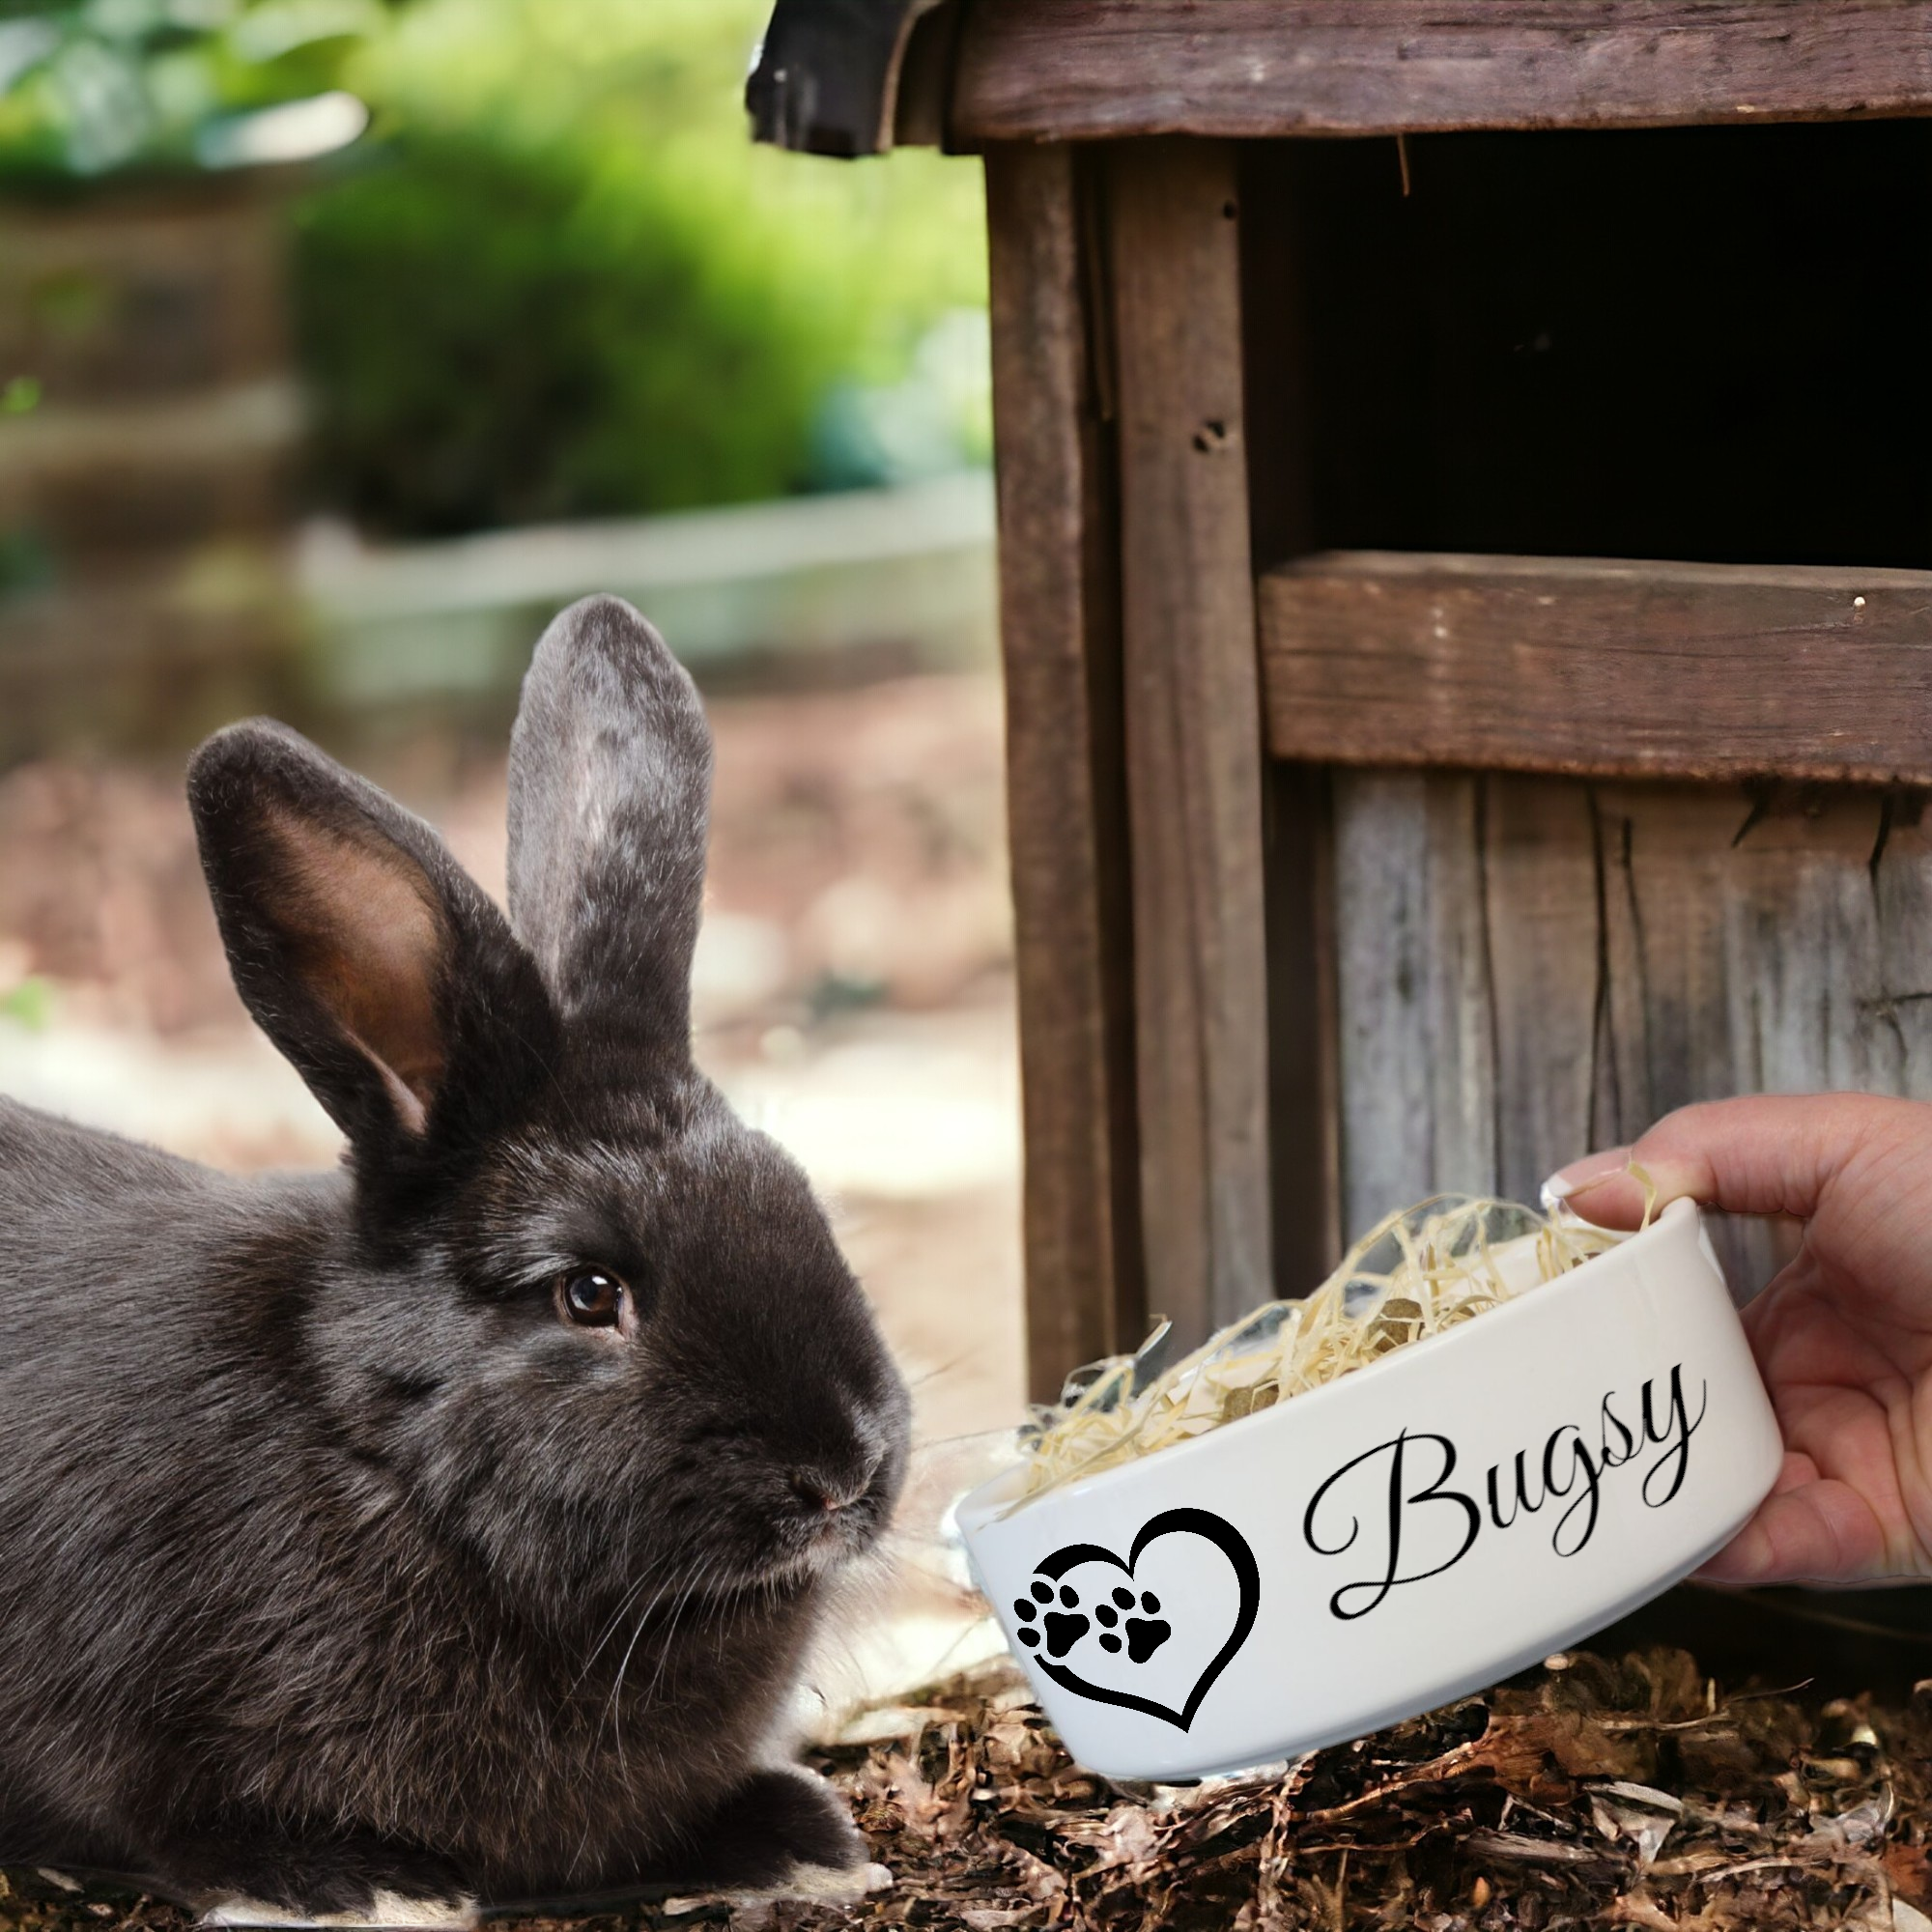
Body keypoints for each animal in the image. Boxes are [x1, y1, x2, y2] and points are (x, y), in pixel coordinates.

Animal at [0, 595, 910, 1925]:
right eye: (588, 1291)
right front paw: (368, 1880)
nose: (841, 1473)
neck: (379, 1454)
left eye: (802, 1203)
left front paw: (805, 1835)